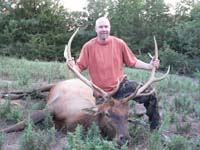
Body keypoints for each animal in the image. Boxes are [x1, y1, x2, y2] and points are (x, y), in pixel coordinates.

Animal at [0, 28, 170, 146]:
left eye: (127, 116)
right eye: (107, 114)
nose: (125, 139)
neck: (74, 121)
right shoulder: (52, 108)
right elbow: (20, 123)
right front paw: (2, 131)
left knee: (35, 94)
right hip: (50, 85)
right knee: (30, 91)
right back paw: (6, 95)